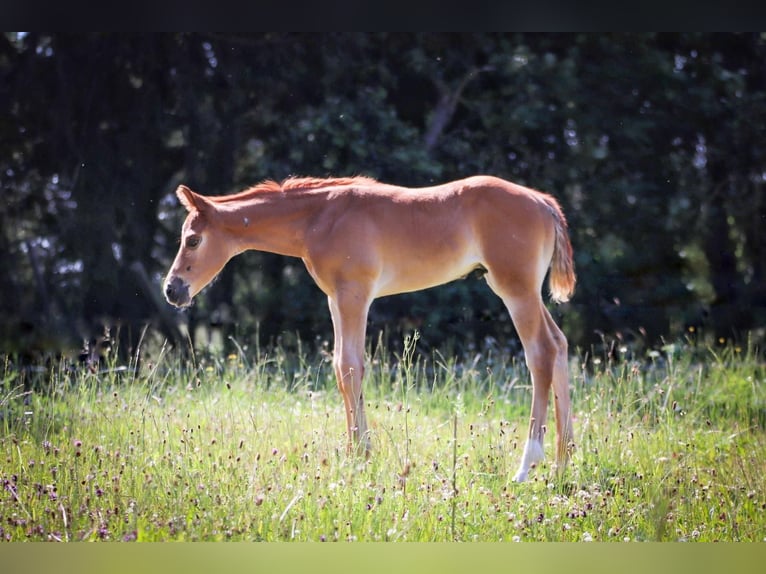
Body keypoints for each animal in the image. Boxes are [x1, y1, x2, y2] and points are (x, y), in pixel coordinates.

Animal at [165, 174, 580, 482]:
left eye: (193, 239)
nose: (172, 289)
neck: (319, 217)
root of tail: (543, 202)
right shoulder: (335, 298)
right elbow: (340, 367)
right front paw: (359, 453)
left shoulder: (355, 293)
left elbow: (352, 367)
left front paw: (358, 457)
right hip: (521, 290)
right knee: (560, 345)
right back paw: (563, 464)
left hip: (515, 289)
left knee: (541, 353)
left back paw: (528, 464)